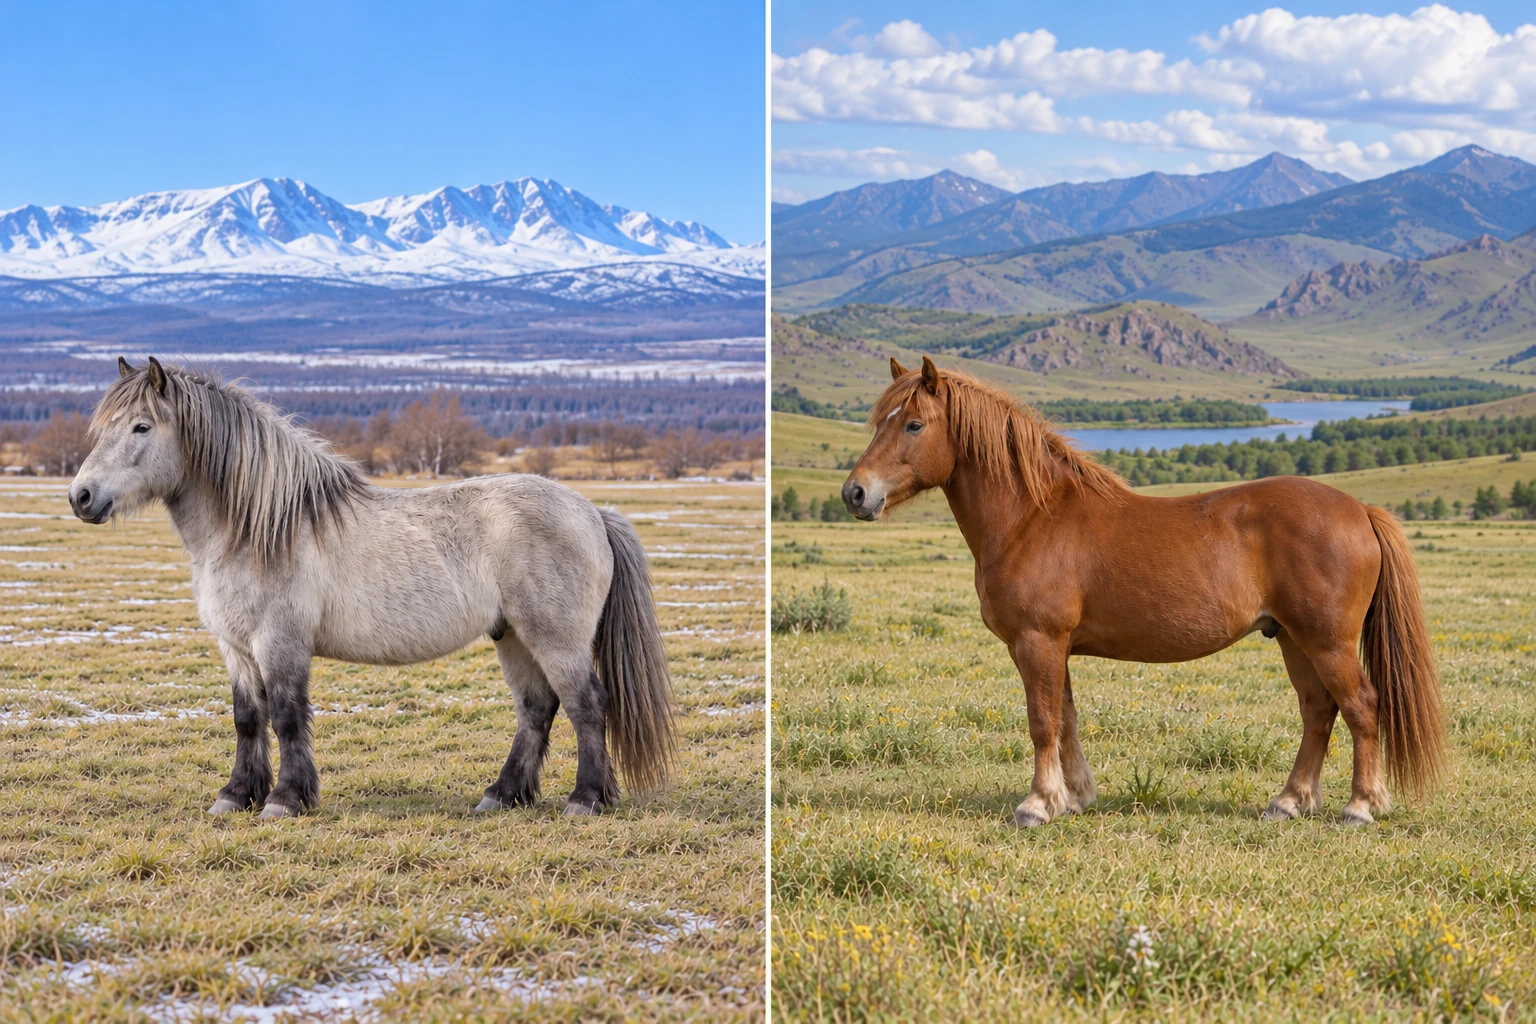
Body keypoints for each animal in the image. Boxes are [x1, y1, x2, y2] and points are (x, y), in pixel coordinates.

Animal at [68, 357, 675, 820]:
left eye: (142, 427)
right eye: (104, 428)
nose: (81, 497)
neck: (256, 528)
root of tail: (590, 511)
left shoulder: (279, 643)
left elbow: (286, 716)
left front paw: (285, 800)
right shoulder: (236, 647)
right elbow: (247, 719)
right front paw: (236, 796)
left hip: (555, 637)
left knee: (585, 705)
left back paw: (585, 800)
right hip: (514, 636)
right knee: (537, 709)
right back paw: (501, 796)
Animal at [841, 356, 1445, 827]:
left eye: (914, 425)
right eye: (881, 422)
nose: (855, 493)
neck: (1034, 516)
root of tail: (1359, 511)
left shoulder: (1038, 641)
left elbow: (1042, 721)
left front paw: (1037, 805)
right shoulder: (1056, 647)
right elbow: (1067, 719)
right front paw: (1074, 797)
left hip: (1327, 641)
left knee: (1361, 707)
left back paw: (1361, 806)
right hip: (1293, 638)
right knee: (1319, 711)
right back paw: (1289, 802)